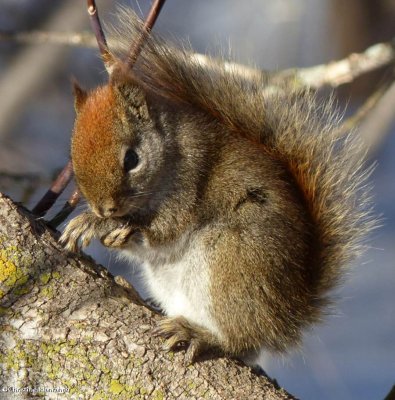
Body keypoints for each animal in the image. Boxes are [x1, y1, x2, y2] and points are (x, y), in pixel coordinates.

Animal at [60, 7, 376, 364]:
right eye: (72, 154)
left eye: (131, 159)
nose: (104, 208)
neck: (170, 151)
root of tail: (287, 318)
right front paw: (99, 227)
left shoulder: (190, 179)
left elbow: (164, 229)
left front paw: (97, 223)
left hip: (232, 262)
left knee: (241, 340)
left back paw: (200, 334)